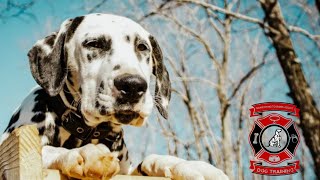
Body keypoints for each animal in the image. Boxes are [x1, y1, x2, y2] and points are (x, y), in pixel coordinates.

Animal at [1, 13, 229, 179]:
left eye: (142, 47)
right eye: (94, 44)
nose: (133, 86)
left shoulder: (128, 171)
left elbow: (150, 160)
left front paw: (189, 166)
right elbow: (47, 150)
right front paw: (81, 153)